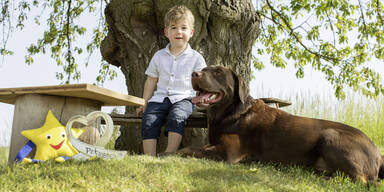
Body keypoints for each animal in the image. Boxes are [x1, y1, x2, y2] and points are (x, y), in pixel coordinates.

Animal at [178, 65, 384, 183]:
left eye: (218, 72)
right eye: (204, 68)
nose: (194, 74)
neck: (231, 113)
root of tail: (378, 153)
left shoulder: (228, 152)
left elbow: (188, 149)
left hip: (330, 135)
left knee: (364, 180)